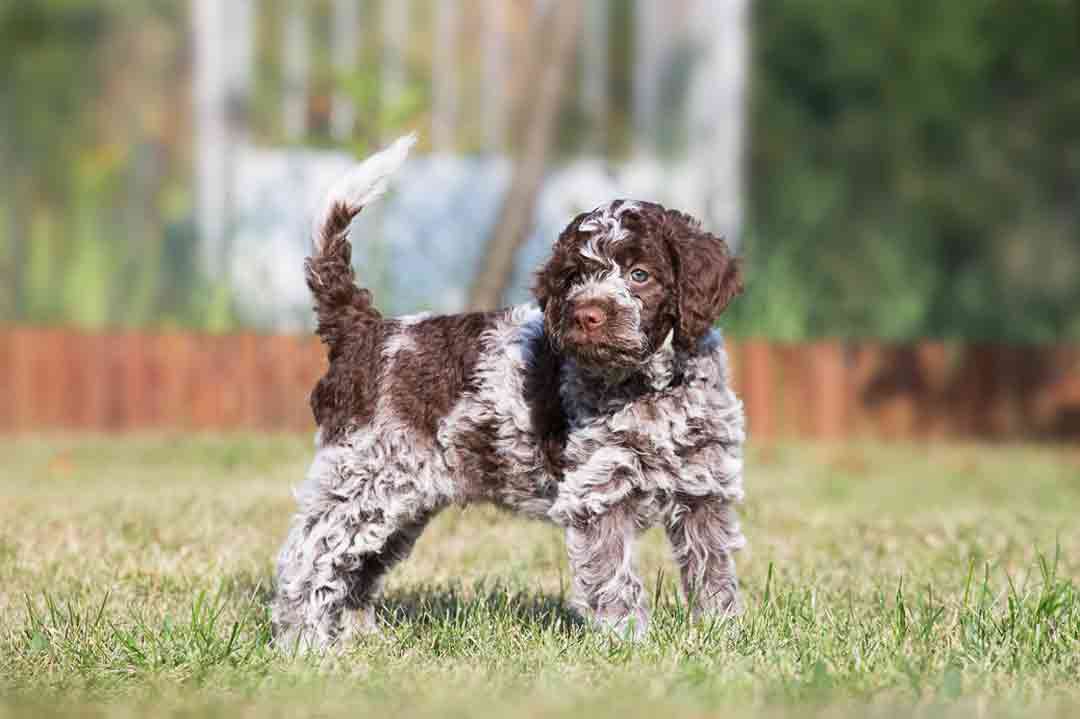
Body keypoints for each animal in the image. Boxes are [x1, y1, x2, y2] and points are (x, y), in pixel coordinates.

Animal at [270, 131, 747, 647]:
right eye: (574, 277)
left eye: (640, 275)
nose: (587, 315)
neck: (651, 387)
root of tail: (363, 328)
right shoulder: (599, 494)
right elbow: (614, 576)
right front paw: (626, 642)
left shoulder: (704, 490)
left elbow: (713, 569)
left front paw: (722, 634)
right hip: (363, 474)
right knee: (308, 557)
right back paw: (304, 643)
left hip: (402, 493)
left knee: (357, 567)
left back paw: (359, 638)